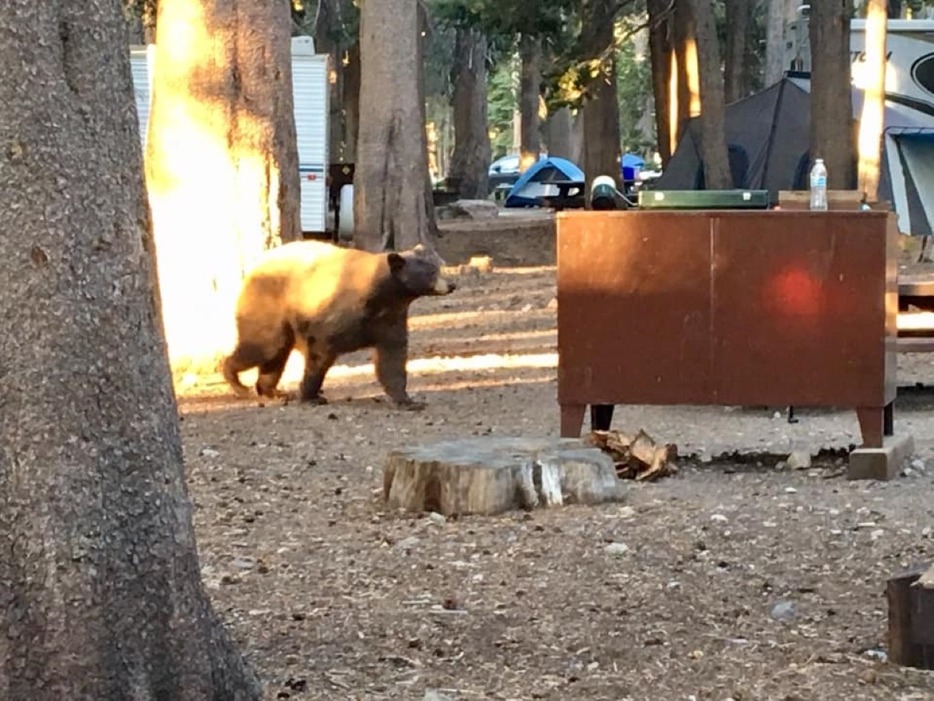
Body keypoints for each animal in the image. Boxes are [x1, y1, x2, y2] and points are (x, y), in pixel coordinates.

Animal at [223, 239, 458, 408]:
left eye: (439, 265)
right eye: (431, 272)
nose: (451, 285)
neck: (382, 296)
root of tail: (253, 268)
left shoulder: (390, 318)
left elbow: (392, 358)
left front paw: (408, 400)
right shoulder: (336, 317)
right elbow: (320, 351)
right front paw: (311, 395)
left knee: (275, 355)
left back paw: (274, 391)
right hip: (269, 308)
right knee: (264, 346)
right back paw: (238, 383)